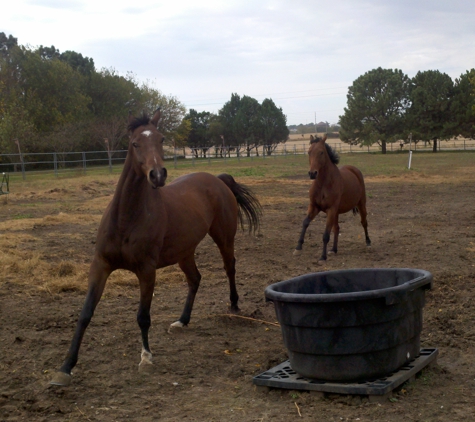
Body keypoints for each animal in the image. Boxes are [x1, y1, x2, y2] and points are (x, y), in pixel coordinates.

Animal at [51, 109, 264, 386]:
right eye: (134, 143)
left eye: (161, 139)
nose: (158, 175)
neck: (127, 218)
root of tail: (218, 180)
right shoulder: (100, 266)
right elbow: (85, 313)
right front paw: (65, 367)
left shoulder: (146, 270)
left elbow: (143, 316)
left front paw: (146, 358)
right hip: (184, 252)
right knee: (195, 279)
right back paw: (182, 321)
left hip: (224, 239)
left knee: (230, 268)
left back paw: (235, 305)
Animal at [294, 134, 372, 264]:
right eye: (309, 152)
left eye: (321, 152)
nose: (312, 173)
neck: (323, 184)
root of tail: (354, 170)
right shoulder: (314, 207)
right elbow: (305, 223)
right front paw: (298, 247)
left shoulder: (330, 210)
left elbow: (326, 234)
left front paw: (322, 257)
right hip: (336, 212)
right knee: (336, 228)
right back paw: (334, 249)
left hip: (361, 204)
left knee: (364, 222)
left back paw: (368, 242)